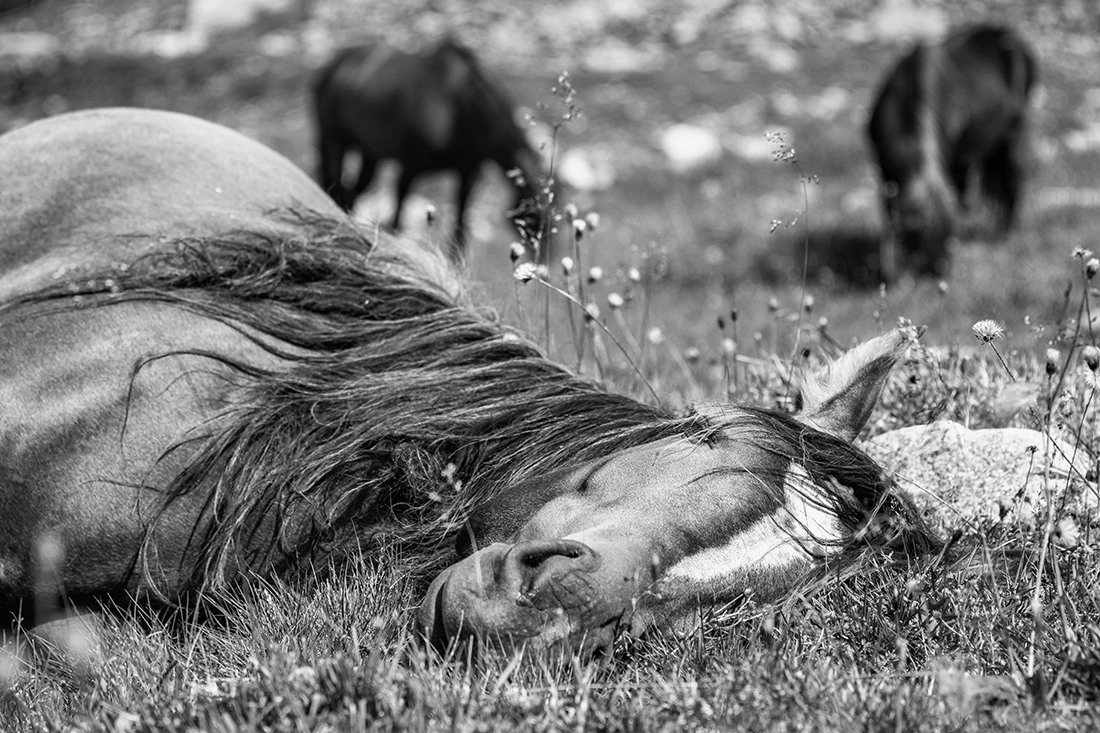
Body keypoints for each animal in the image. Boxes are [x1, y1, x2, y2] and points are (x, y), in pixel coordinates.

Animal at [312, 37, 548, 262]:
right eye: (531, 215)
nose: (544, 258)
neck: (457, 110)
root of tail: (333, 65)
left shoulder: (468, 175)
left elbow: (459, 230)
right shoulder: (409, 168)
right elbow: (396, 220)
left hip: (370, 153)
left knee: (351, 193)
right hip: (333, 139)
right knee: (334, 184)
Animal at [867, 24, 1036, 279]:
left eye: (949, 237)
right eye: (920, 237)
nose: (940, 272)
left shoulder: (955, 161)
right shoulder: (884, 170)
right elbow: (889, 216)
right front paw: (890, 269)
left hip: (1011, 138)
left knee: (1011, 181)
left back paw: (1004, 233)